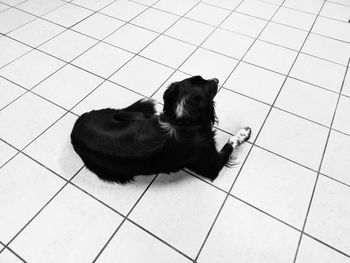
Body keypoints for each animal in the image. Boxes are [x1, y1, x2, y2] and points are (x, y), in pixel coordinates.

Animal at [71, 75, 250, 185]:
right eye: (210, 86)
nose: (216, 79)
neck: (183, 121)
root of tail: (77, 125)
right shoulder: (211, 165)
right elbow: (230, 143)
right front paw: (244, 132)